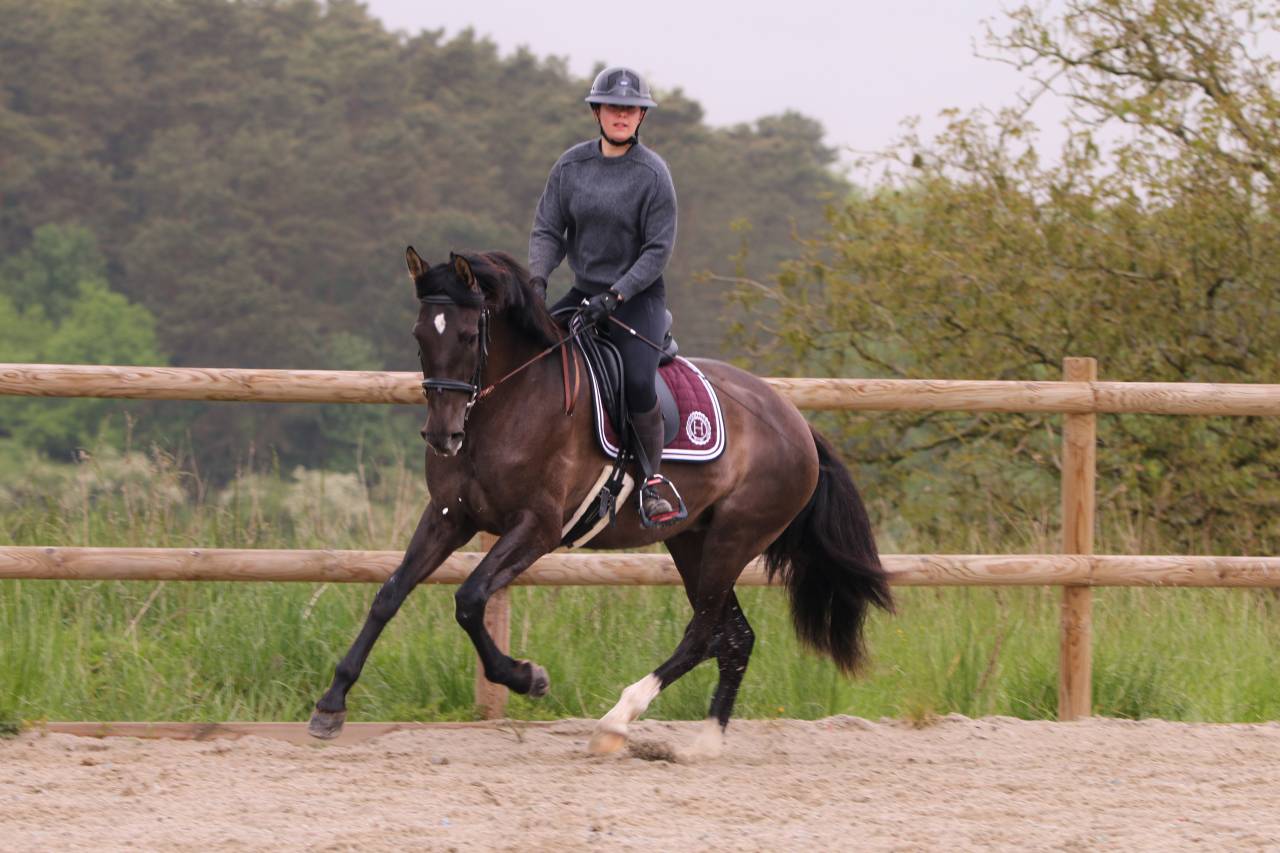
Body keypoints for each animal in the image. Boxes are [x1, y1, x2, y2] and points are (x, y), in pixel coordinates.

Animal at [309, 247, 893, 758]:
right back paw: (704, 744)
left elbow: (470, 599)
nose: (441, 436)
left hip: (734, 538)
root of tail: (796, 421)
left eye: (470, 334)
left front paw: (528, 677)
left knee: (704, 632)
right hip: (692, 541)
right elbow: (390, 593)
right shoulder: (451, 517)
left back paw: (617, 721)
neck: (508, 404)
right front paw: (331, 704)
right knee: (734, 638)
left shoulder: (538, 527)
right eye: (418, 335)